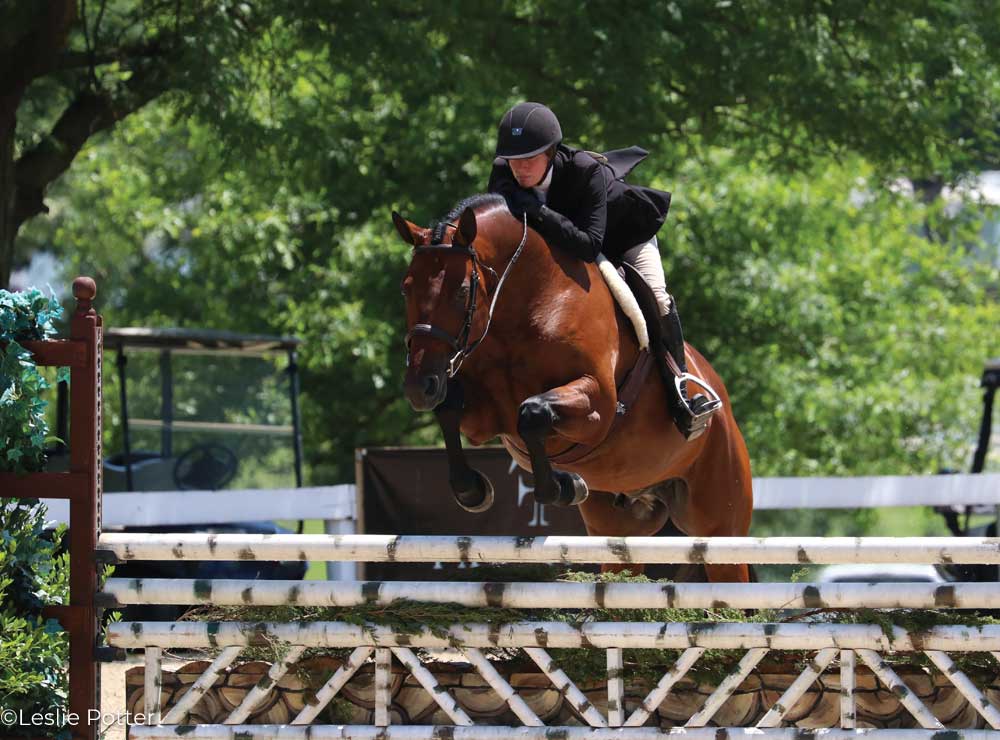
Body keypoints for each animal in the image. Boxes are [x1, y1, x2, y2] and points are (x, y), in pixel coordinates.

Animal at [394, 192, 752, 584]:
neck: (525, 306)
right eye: (406, 288)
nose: (419, 387)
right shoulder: (486, 417)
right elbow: (450, 410)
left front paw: (566, 486)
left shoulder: (598, 406)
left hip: (721, 526)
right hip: (620, 531)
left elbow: (533, 412)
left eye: (461, 292)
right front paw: (473, 490)